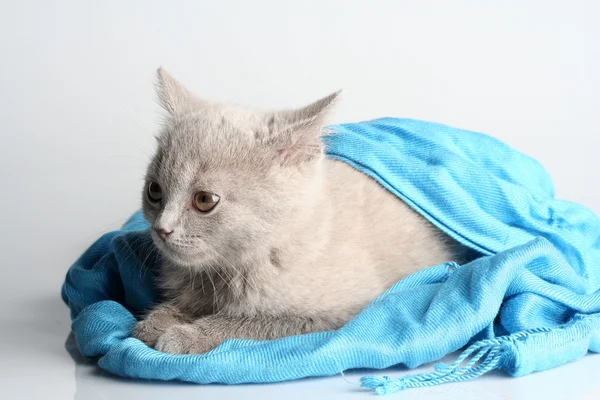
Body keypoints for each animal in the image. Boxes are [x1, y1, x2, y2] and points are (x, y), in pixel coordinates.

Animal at [134, 69, 466, 354]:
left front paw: (184, 335)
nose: (162, 229)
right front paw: (156, 322)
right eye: (154, 191)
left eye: (204, 200)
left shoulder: (342, 312)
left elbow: (249, 323)